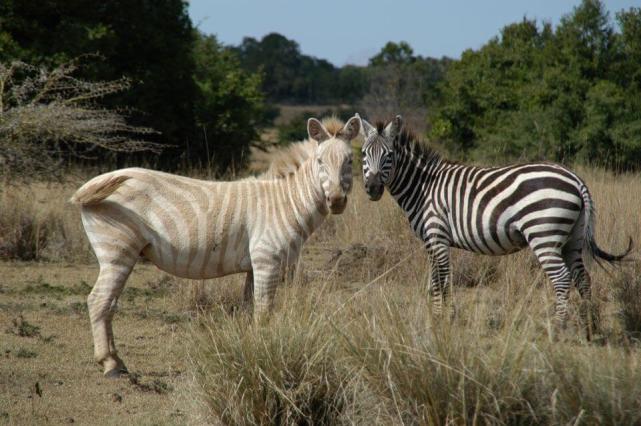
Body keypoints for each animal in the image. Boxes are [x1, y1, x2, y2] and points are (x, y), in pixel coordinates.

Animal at [72, 114, 360, 376]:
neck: (285, 202)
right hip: (116, 251)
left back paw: (117, 361)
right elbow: (264, 311)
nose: (336, 201)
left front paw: (252, 349)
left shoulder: (254, 266)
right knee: (98, 301)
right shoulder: (267, 260)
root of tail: (93, 183)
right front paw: (265, 351)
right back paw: (109, 364)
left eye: (350, 161)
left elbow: (249, 309)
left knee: (108, 304)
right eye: (320, 161)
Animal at [358, 115, 632, 334]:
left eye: (389, 156)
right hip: (573, 238)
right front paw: (436, 318)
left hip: (543, 234)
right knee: (582, 278)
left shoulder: (437, 234)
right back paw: (589, 327)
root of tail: (576, 179)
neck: (424, 186)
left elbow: (441, 279)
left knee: (562, 278)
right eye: (363, 154)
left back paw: (558, 329)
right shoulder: (431, 241)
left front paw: (442, 320)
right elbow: (433, 282)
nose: (372, 189)